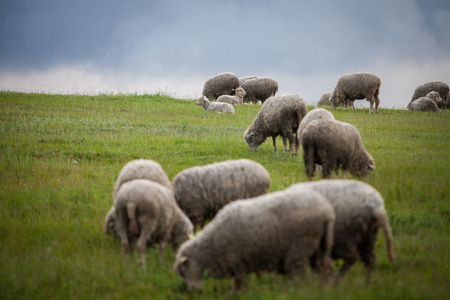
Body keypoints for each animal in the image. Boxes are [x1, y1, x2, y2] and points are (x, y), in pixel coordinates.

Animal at [174, 185, 336, 290]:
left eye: (183, 271)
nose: (193, 292)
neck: (212, 245)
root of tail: (326, 212)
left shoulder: (236, 261)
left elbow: (240, 283)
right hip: (321, 245)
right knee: (324, 267)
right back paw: (324, 288)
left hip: (300, 247)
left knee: (298, 272)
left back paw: (294, 290)